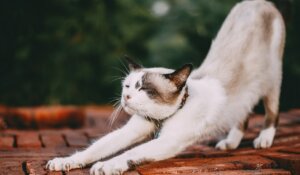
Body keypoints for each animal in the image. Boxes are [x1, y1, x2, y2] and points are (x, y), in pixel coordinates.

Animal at [45, 0, 284, 174]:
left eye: (143, 89)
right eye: (127, 86)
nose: (126, 98)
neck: (160, 119)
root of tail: (259, 2)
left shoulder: (168, 141)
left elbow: (128, 154)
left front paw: (106, 166)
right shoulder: (131, 131)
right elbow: (94, 149)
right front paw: (63, 162)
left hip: (271, 80)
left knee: (271, 112)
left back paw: (263, 139)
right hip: (249, 93)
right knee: (244, 113)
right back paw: (230, 143)